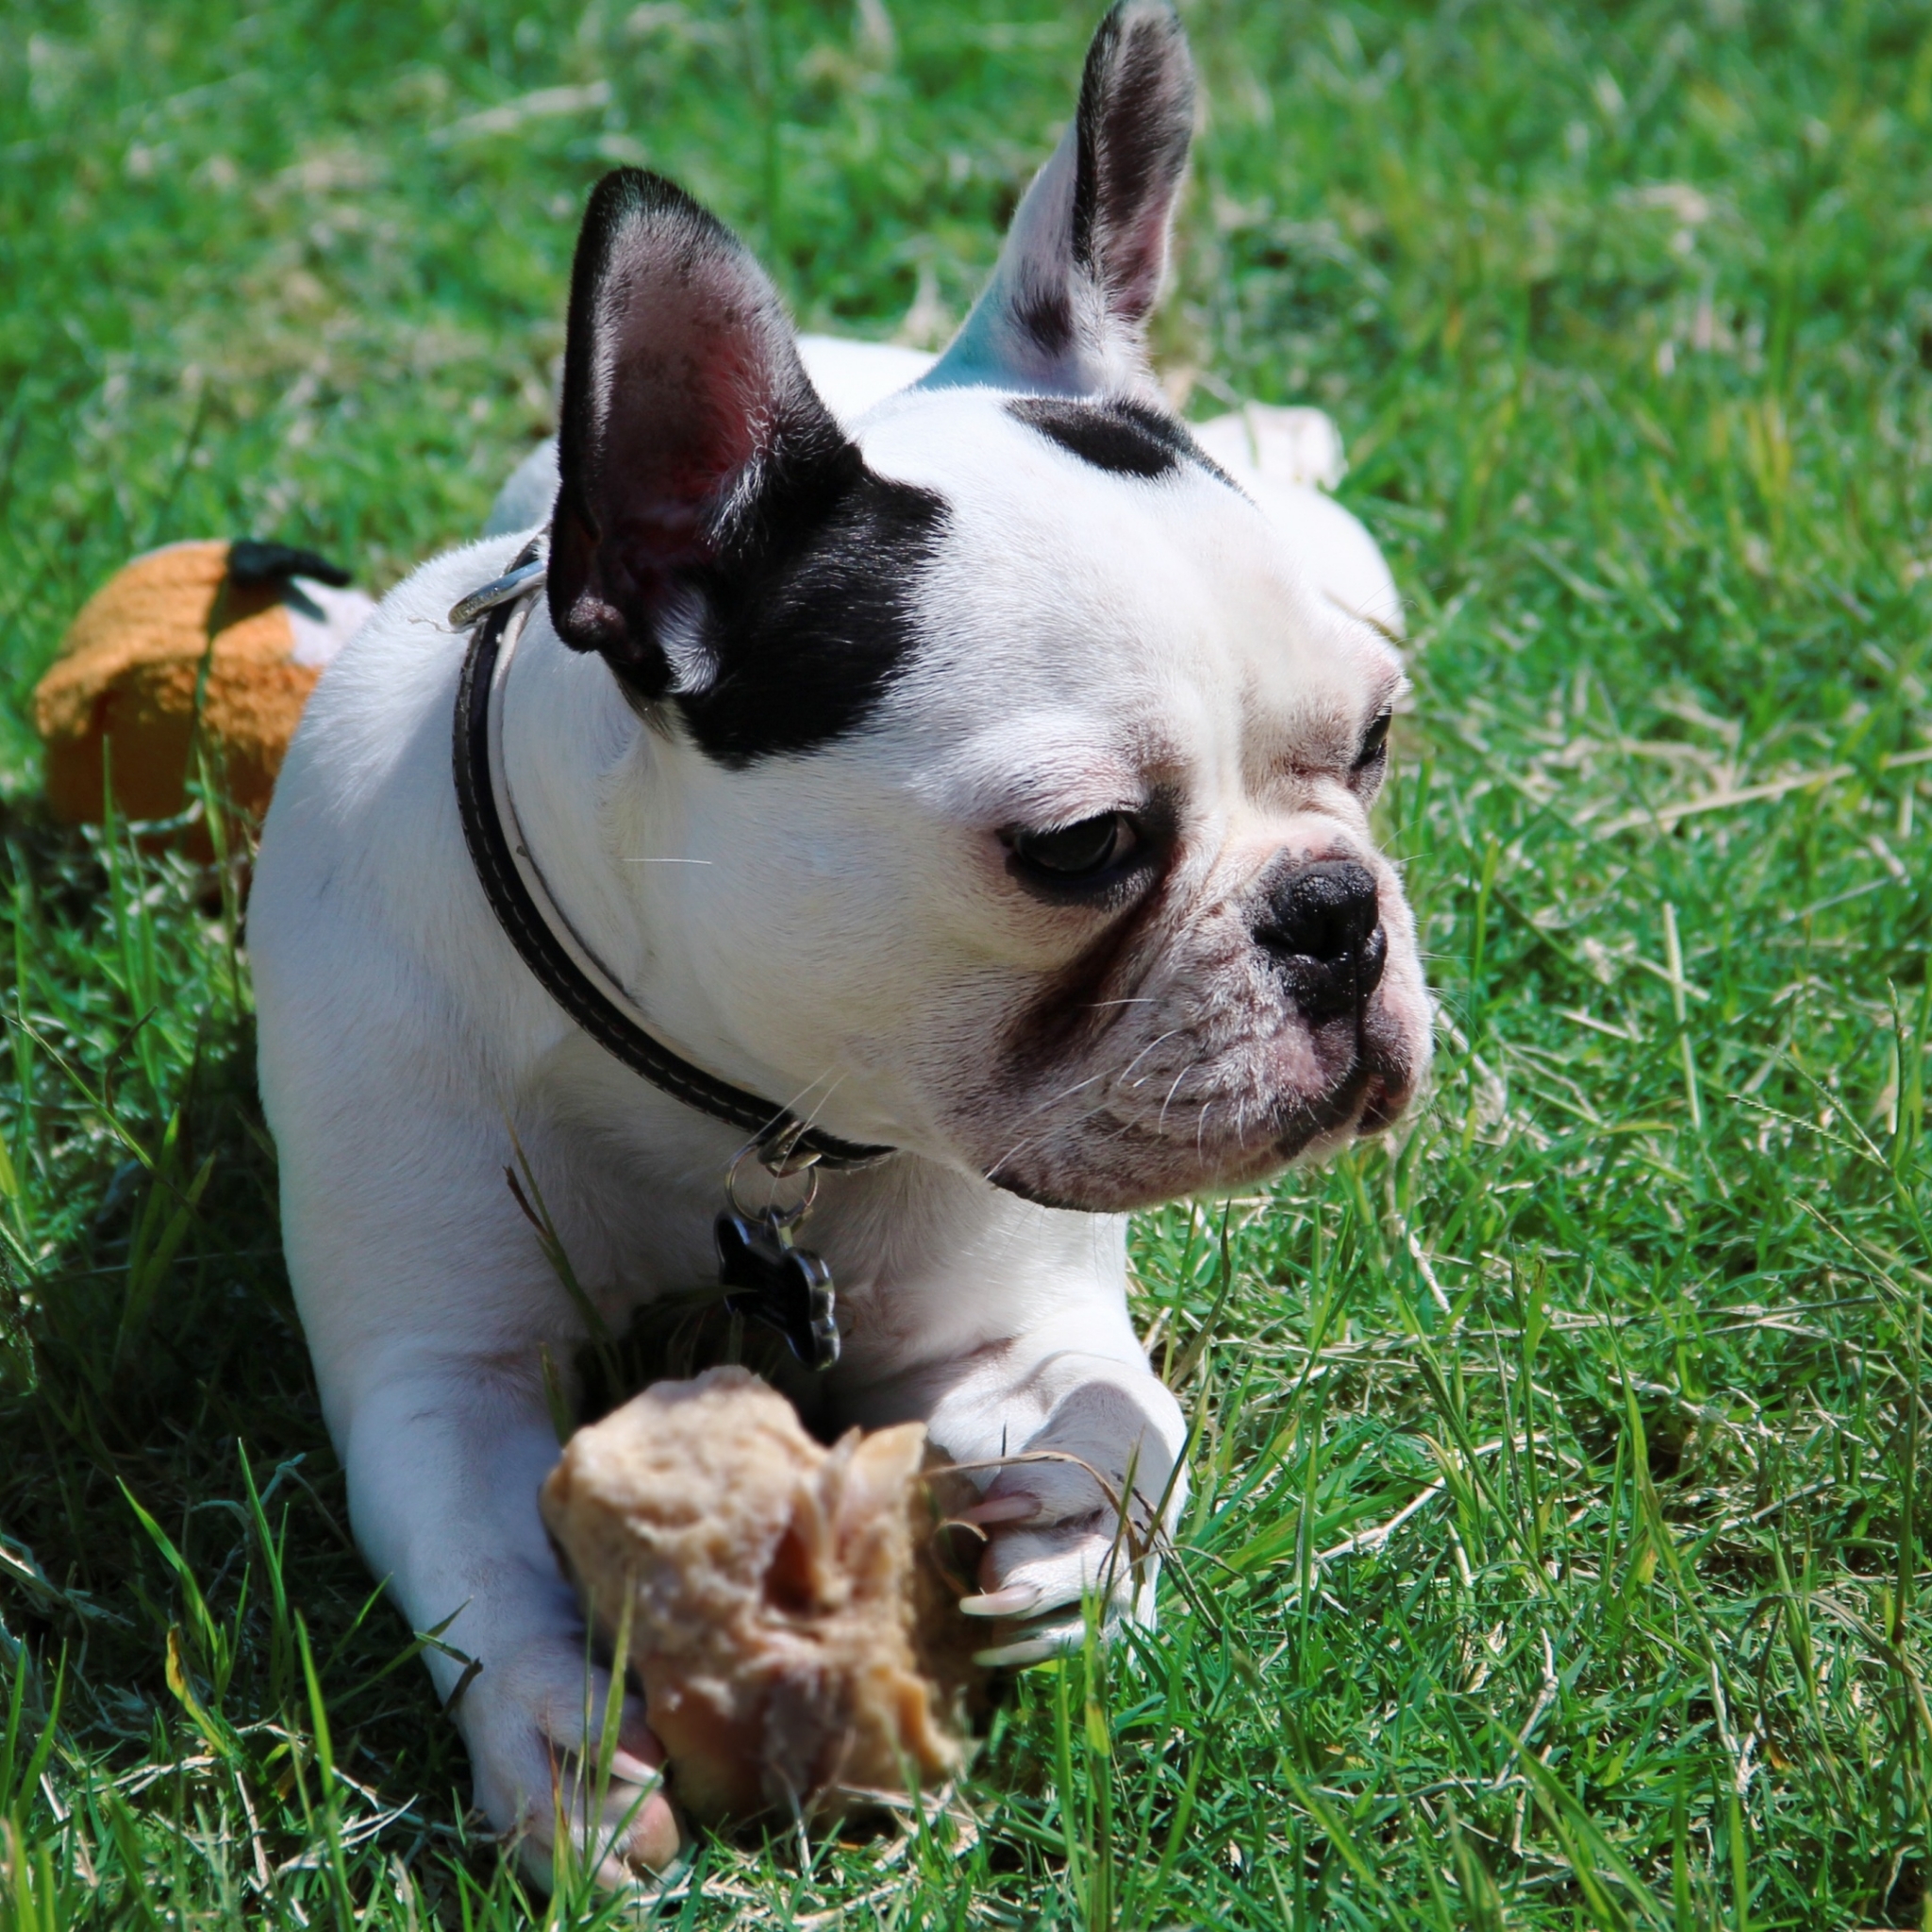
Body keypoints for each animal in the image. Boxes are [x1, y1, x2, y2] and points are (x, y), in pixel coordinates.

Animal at [249, 4, 1437, 1885]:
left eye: (1377, 743)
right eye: (1083, 849)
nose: (1336, 917)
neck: (732, 1101)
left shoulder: (1012, 1318)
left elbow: (1131, 1413)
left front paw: (1076, 1530)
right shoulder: (437, 1367)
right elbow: (478, 1556)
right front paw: (560, 1736)